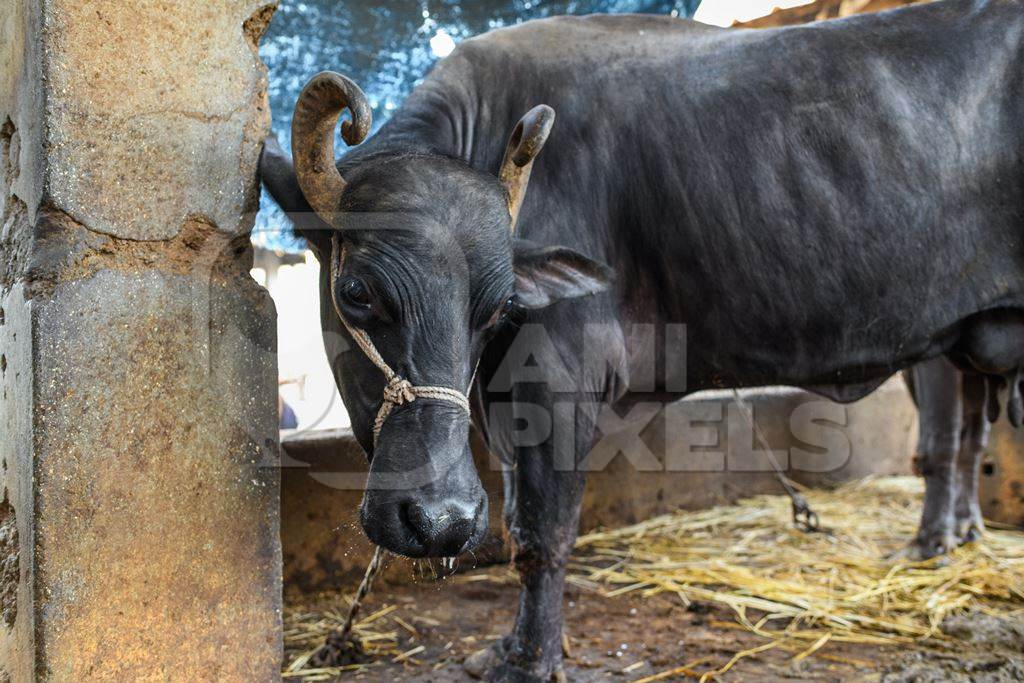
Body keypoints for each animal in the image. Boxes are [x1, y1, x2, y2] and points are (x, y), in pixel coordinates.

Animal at [264, 3, 1024, 679]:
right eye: (356, 292)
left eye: (499, 305)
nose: (441, 519)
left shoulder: (558, 380)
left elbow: (541, 532)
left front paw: (529, 660)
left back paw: (932, 541)